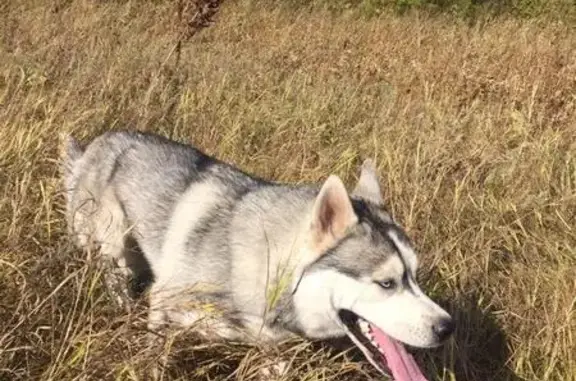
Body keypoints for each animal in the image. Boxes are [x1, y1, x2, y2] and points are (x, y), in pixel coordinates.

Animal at [62, 129, 454, 378]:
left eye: (415, 276)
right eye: (387, 283)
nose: (447, 327)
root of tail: (97, 143)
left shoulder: (274, 351)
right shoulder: (164, 304)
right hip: (114, 250)